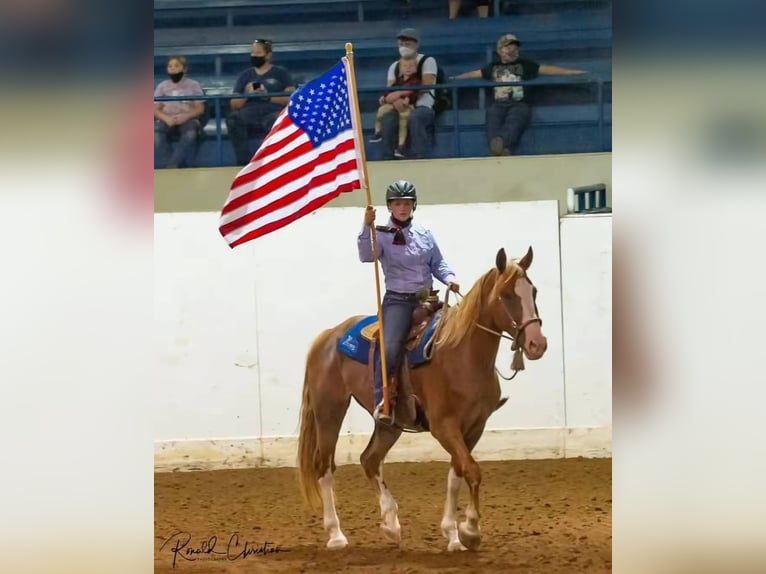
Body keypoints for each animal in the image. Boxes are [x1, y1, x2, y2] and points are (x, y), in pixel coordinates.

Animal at [296, 246, 548, 552]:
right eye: (507, 294)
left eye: (533, 291)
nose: (537, 344)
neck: (462, 354)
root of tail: (328, 336)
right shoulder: (444, 426)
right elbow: (472, 471)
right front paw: (470, 530)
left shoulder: (474, 427)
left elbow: (458, 474)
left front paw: (453, 535)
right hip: (329, 410)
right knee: (325, 467)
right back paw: (336, 535)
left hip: (389, 422)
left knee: (370, 459)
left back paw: (391, 526)